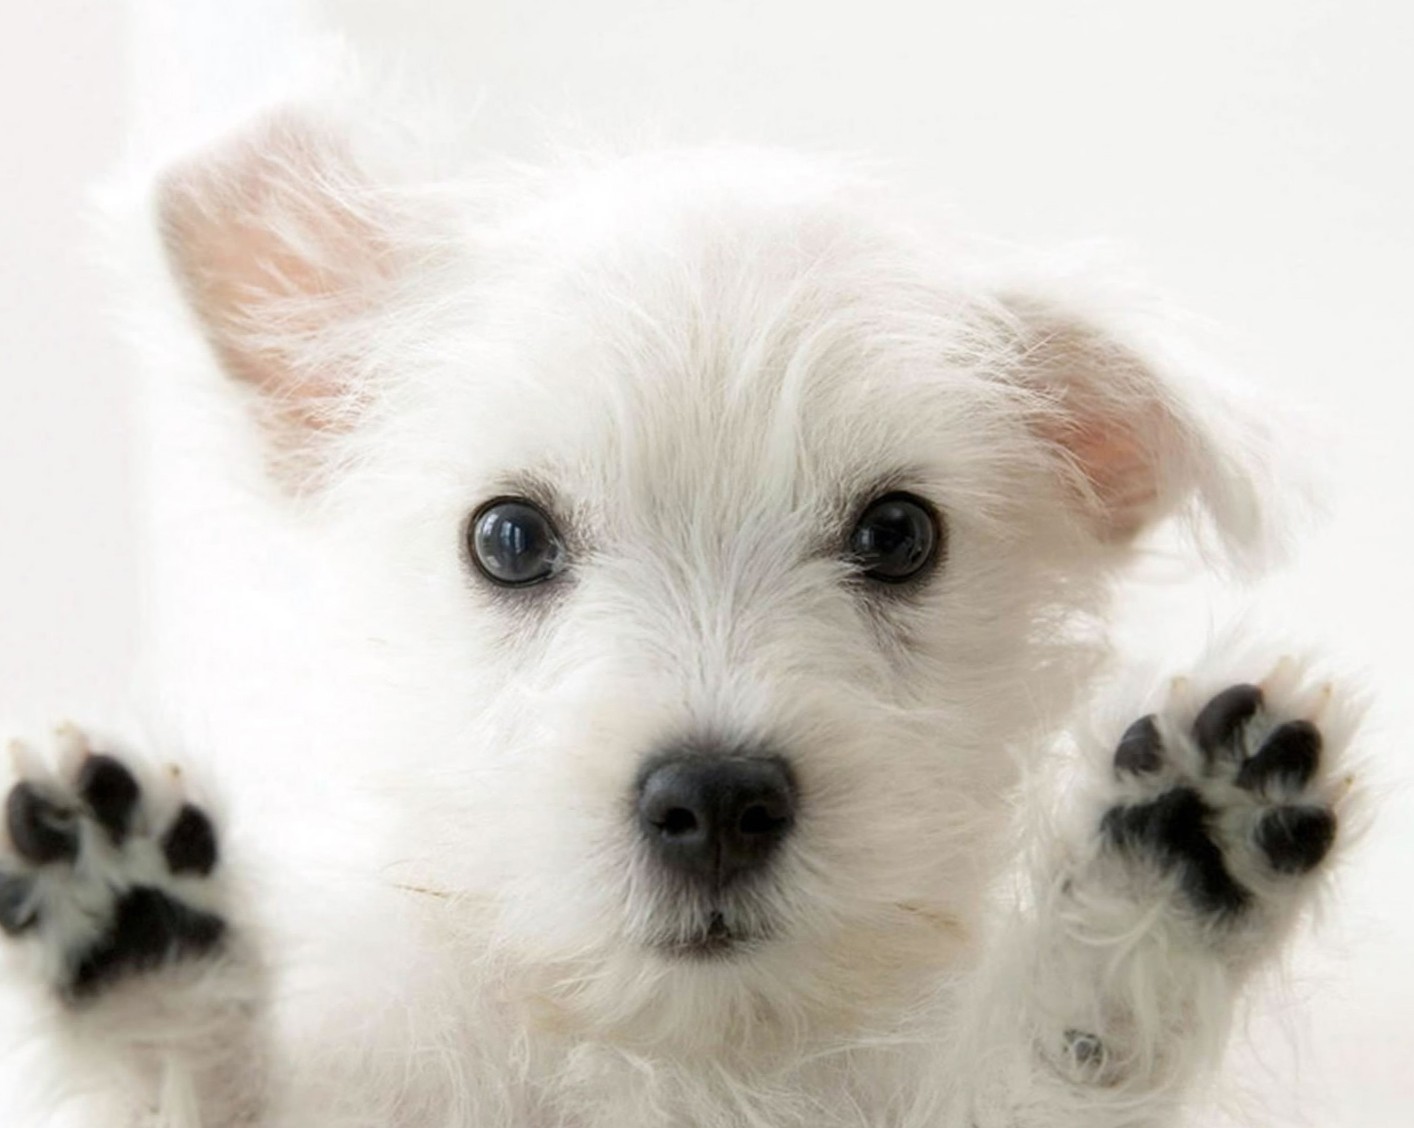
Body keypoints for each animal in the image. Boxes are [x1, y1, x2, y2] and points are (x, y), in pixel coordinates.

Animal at [0, 90, 1357, 1128]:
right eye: (507, 538)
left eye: (898, 534)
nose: (713, 801)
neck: (693, 1057)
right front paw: (151, 968)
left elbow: (1063, 1062)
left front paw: (1165, 869)